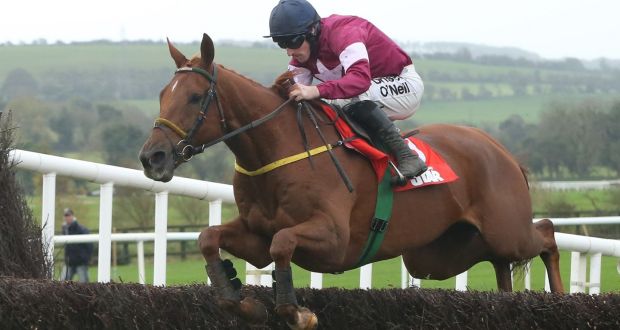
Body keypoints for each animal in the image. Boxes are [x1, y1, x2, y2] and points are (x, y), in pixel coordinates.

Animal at [139, 34, 560, 330]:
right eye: (161, 94)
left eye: (195, 97)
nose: (151, 157)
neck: (277, 150)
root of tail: (500, 150)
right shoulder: (255, 236)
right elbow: (209, 238)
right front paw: (242, 302)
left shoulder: (334, 240)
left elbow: (283, 242)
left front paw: (296, 312)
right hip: (437, 254)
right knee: (499, 259)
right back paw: (512, 302)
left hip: (505, 229)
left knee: (545, 233)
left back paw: (557, 302)